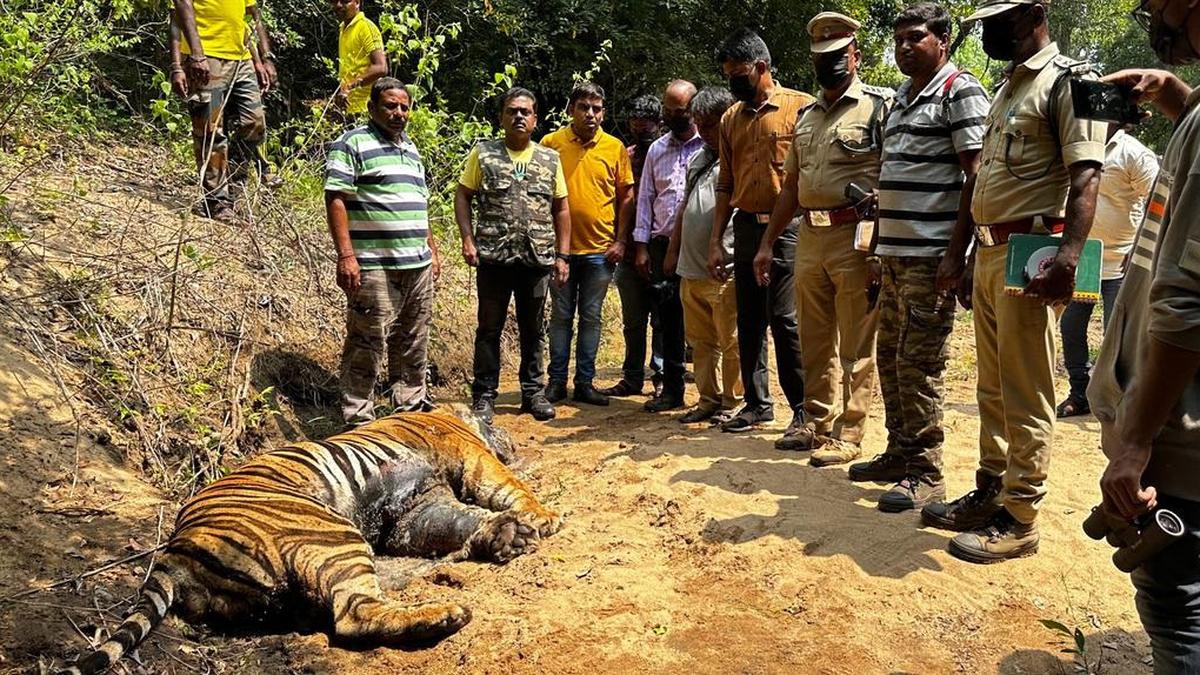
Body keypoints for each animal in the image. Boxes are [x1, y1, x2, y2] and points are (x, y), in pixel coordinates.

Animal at [57, 409, 563, 674]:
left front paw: (508, 534)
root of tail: (175, 546)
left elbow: (461, 520)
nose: (512, 438)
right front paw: (543, 518)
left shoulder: (418, 510)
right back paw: (444, 616)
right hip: (332, 532)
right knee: (353, 616)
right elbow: (507, 486)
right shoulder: (472, 459)